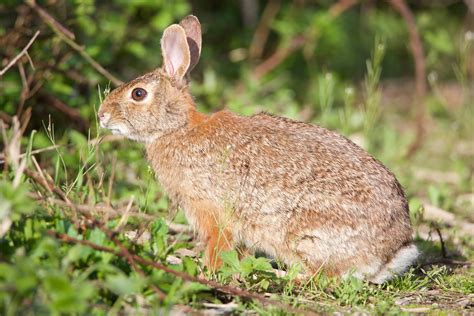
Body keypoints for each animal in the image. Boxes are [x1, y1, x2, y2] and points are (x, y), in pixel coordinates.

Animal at [97, 14, 418, 282]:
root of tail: (392, 251)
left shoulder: (212, 212)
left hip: (306, 234)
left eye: (138, 94)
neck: (178, 128)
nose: (101, 115)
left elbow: (217, 247)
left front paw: (207, 272)